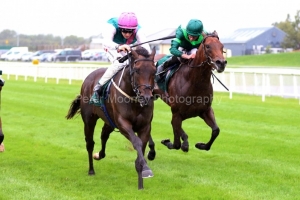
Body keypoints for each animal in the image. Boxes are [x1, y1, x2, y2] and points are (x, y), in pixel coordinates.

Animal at [66, 46, 157, 189]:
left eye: (154, 71)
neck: (134, 99)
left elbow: (141, 147)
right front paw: (147, 170)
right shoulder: (123, 123)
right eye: (137, 70)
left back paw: (99, 155)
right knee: (90, 143)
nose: (147, 97)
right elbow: (136, 142)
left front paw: (141, 180)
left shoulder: (145, 126)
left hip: (109, 120)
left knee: (104, 135)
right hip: (89, 120)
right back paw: (91, 169)